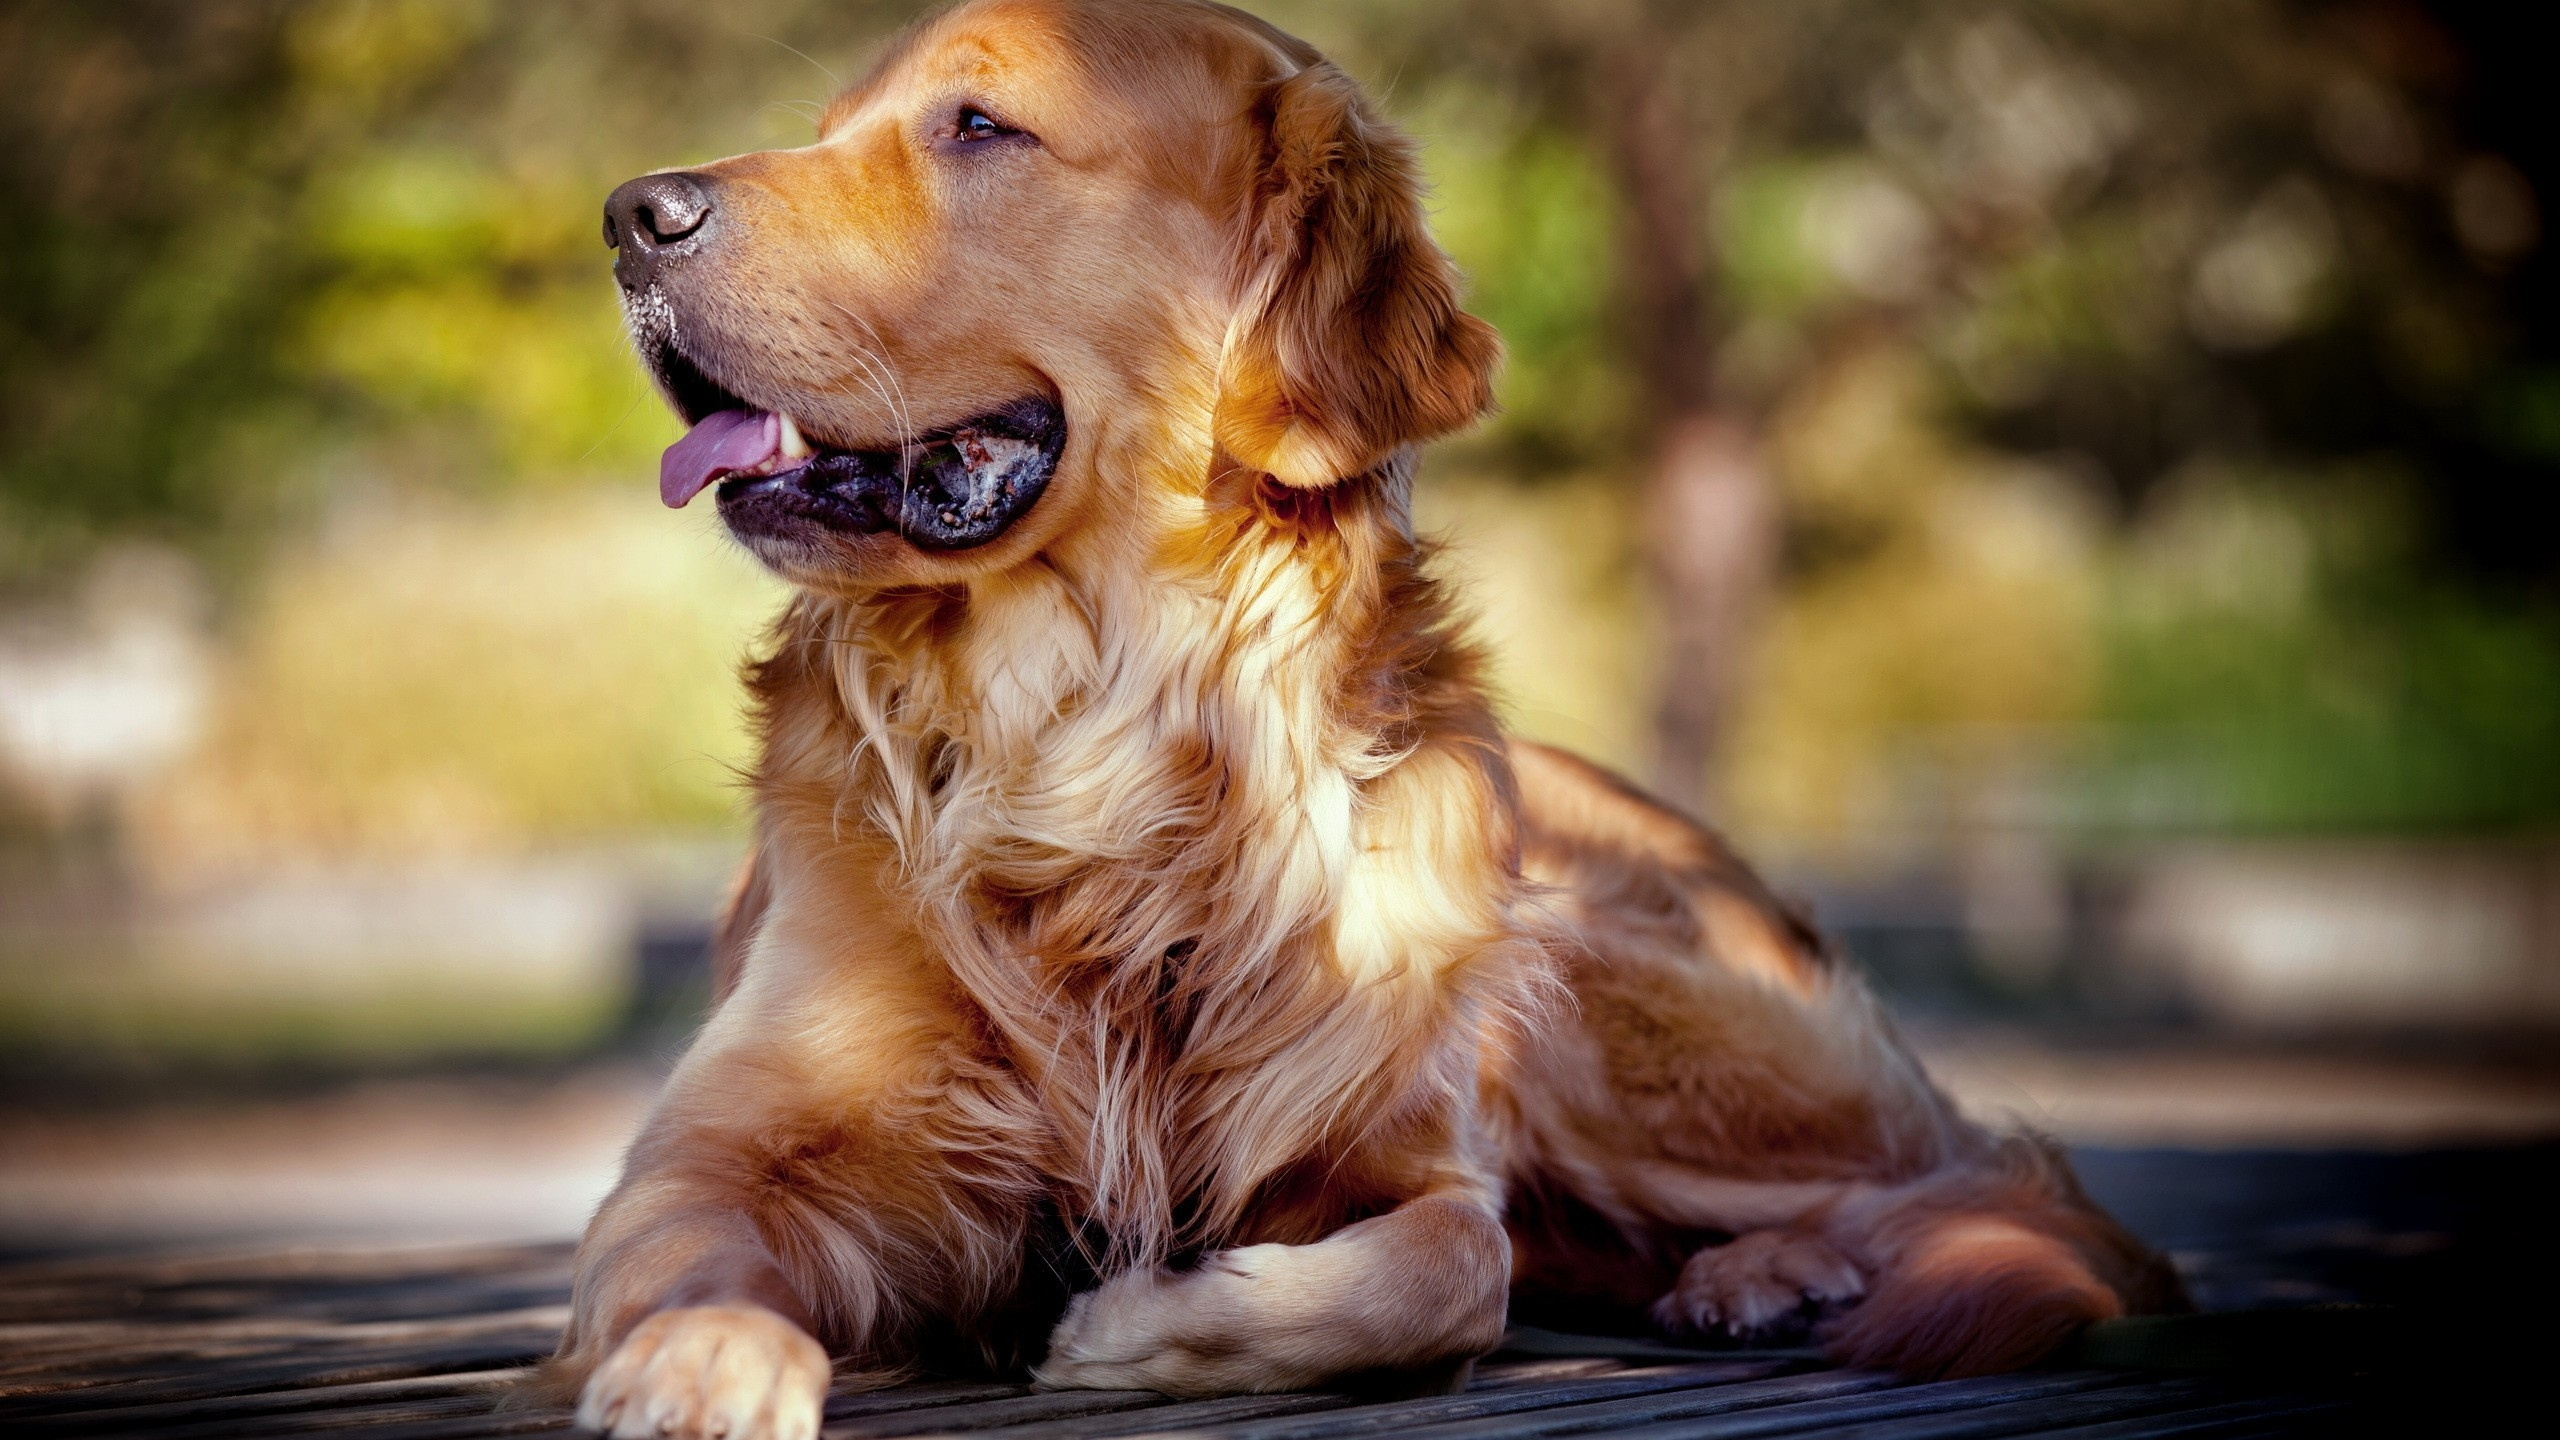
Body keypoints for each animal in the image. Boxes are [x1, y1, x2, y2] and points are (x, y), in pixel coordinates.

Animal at [545, 5, 2181, 1424]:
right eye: (830, 127)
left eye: (980, 126)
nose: (630, 213)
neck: (1093, 742)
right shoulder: (716, 1152)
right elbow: (686, 1254)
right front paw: (701, 1359)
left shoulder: (1409, 1139)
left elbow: (1448, 1263)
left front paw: (1135, 1328)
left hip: (1586, 982)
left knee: (1994, 1185)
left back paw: (1778, 1267)